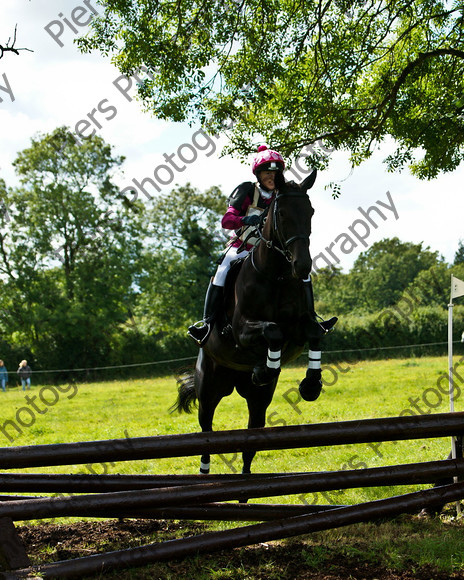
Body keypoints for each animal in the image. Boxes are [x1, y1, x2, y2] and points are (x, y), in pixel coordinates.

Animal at [172, 171, 336, 472]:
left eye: (310, 212)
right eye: (281, 214)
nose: (302, 266)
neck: (277, 275)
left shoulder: (300, 329)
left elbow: (314, 334)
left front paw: (310, 385)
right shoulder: (241, 331)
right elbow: (272, 331)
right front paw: (264, 369)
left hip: (257, 401)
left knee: (251, 438)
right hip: (209, 390)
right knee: (206, 431)